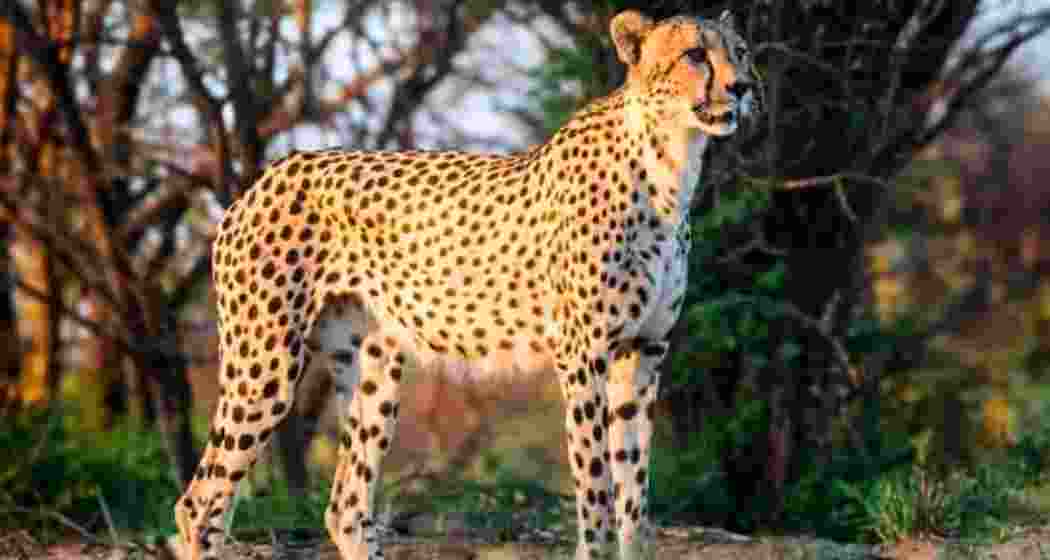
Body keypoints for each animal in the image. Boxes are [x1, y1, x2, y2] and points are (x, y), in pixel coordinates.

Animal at [175, 9, 758, 560]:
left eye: (741, 51)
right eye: (694, 54)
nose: (744, 87)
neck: (670, 163)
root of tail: (267, 176)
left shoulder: (643, 353)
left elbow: (634, 490)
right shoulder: (583, 354)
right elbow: (596, 488)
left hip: (372, 368)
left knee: (346, 507)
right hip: (265, 364)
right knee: (200, 502)